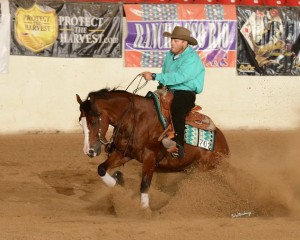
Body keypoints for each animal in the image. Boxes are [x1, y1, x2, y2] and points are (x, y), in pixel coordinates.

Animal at [75, 89, 230, 209]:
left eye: (93, 122)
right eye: (80, 123)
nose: (88, 151)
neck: (135, 119)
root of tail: (224, 145)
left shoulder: (150, 157)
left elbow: (144, 185)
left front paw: (144, 211)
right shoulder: (123, 153)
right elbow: (101, 169)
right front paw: (118, 182)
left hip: (204, 168)